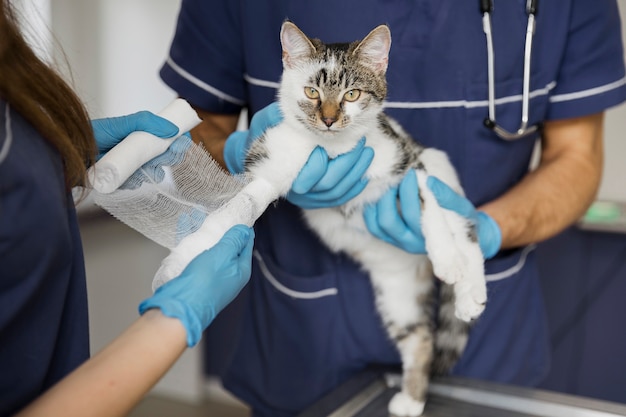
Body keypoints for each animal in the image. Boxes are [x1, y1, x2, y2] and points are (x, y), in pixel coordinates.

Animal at [240, 21, 488, 414]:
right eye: (311, 91)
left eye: (353, 94)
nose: (328, 119)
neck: (336, 149)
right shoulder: (275, 154)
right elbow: (251, 192)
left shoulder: (406, 162)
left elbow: (427, 207)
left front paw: (448, 259)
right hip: (398, 296)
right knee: (419, 337)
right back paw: (412, 398)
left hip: (440, 169)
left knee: (464, 232)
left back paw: (468, 289)